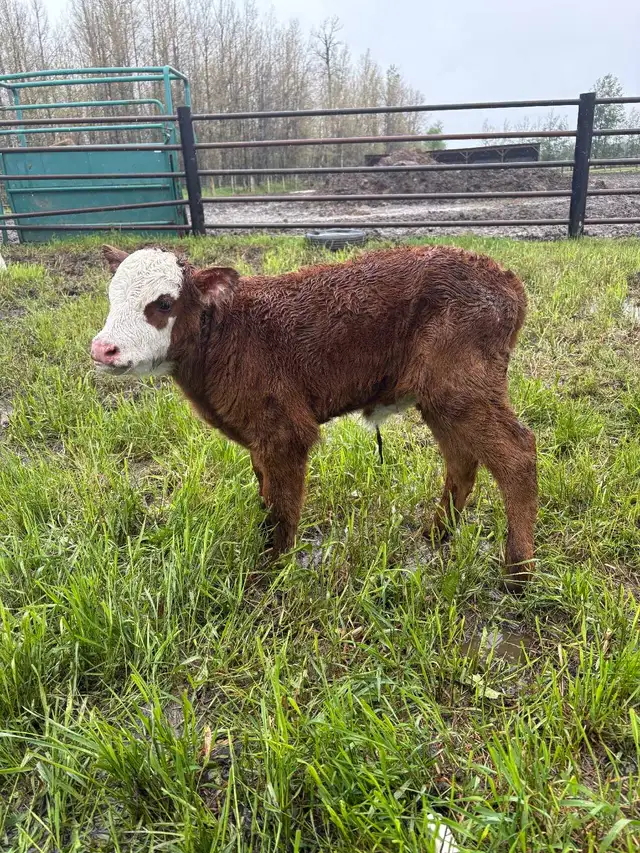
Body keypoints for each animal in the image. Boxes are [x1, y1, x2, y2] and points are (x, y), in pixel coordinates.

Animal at [91, 244, 537, 591]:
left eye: (164, 304)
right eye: (111, 298)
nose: (102, 349)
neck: (223, 336)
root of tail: (507, 282)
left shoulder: (284, 430)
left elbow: (283, 505)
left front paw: (271, 570)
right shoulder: (258, 433)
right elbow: (265, 490)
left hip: (463, 384)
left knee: (517, 454)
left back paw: (518, 572)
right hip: (440, 395)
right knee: (461, 458)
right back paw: (438, 532)